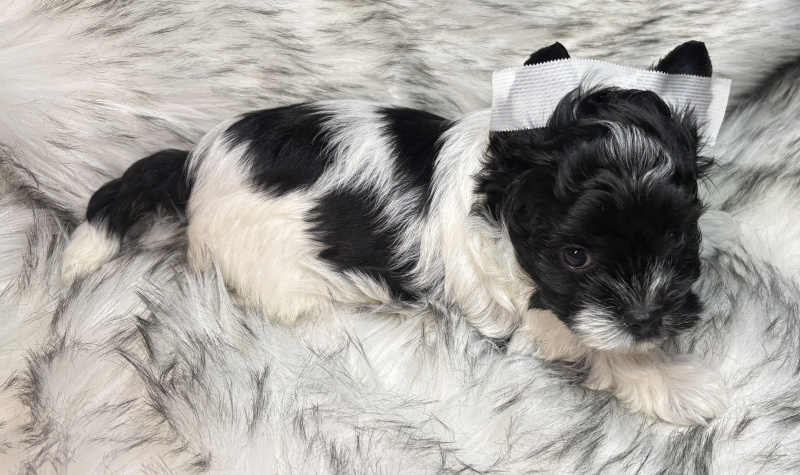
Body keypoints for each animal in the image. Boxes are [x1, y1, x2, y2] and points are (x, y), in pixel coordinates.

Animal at [61, 41, 727, 425]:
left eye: (677, 239)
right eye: (576, 255)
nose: (647, 318)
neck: (497, 203)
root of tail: (195, 164)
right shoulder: (527, 312)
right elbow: (593, 344)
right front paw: (675, 383)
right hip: (270, 270)